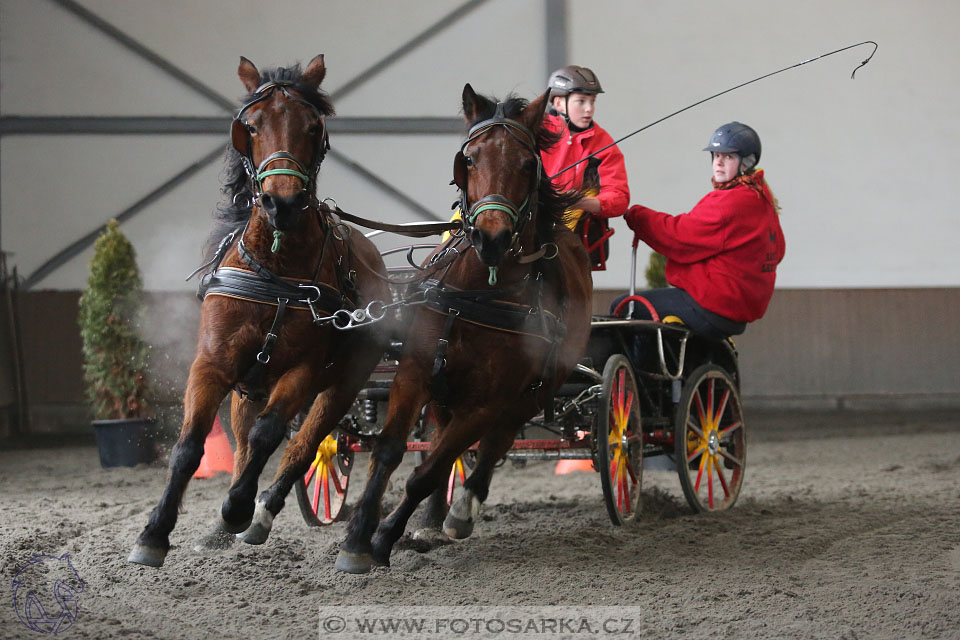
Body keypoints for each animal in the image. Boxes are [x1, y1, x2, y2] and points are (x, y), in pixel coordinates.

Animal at [128, 53, 390, 564]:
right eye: (251, 125)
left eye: (313, 126)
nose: (281, 201)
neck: (277, 270)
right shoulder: (213, 362)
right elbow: (190, 445)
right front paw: (155, 532)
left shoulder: (305, 369)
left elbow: (271, 436)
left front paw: (237, 509)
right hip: (249, 386)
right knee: (245, 441)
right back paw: (223, 524)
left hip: (344, 382)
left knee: (305, 446)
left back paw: (259, 513)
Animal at [336, 84, 592, 576]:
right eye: (469, 158)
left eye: (529, 164)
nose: (491, 237)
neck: (480, 294)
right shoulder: (415, 372)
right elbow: (390, 451)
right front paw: (357, 537)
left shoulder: (489, 399)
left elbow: (427, 472)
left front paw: (383, 537)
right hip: (446, 393)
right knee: (446, 442)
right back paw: (434, 519)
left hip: (528, 396)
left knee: (492, 444)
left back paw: (460, 511)